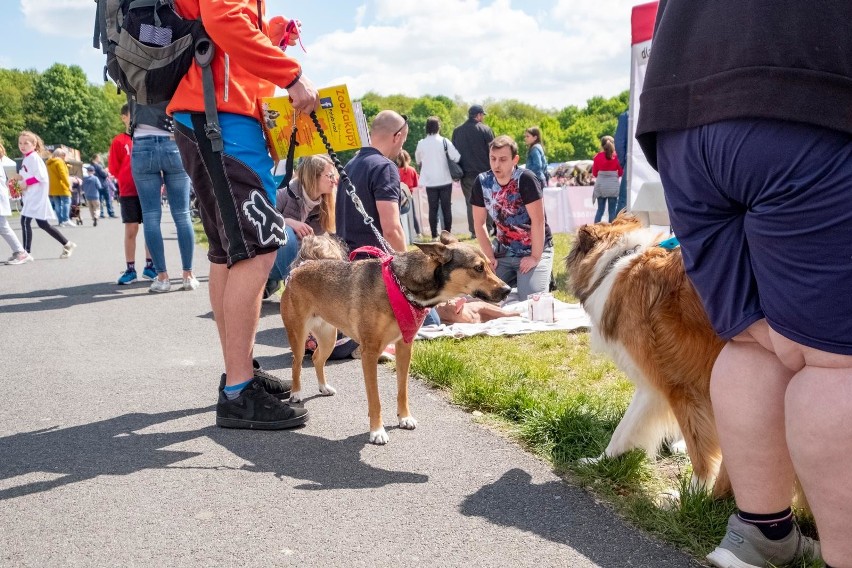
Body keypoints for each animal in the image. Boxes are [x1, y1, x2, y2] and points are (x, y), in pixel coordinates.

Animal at [280, 231, 510, 444]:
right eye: (478, 268)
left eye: (490, 265)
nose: (508, 290)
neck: (403, 286)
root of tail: (301, 267)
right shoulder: (369, 353)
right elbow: (375, 399)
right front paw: (377, 431)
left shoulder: (404, 346)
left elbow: (402, 389)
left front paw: (404, 418)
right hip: (298, 335)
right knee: (296, 363)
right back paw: (296, 393)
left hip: (329, 336)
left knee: (317, 358)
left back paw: (323, 387)